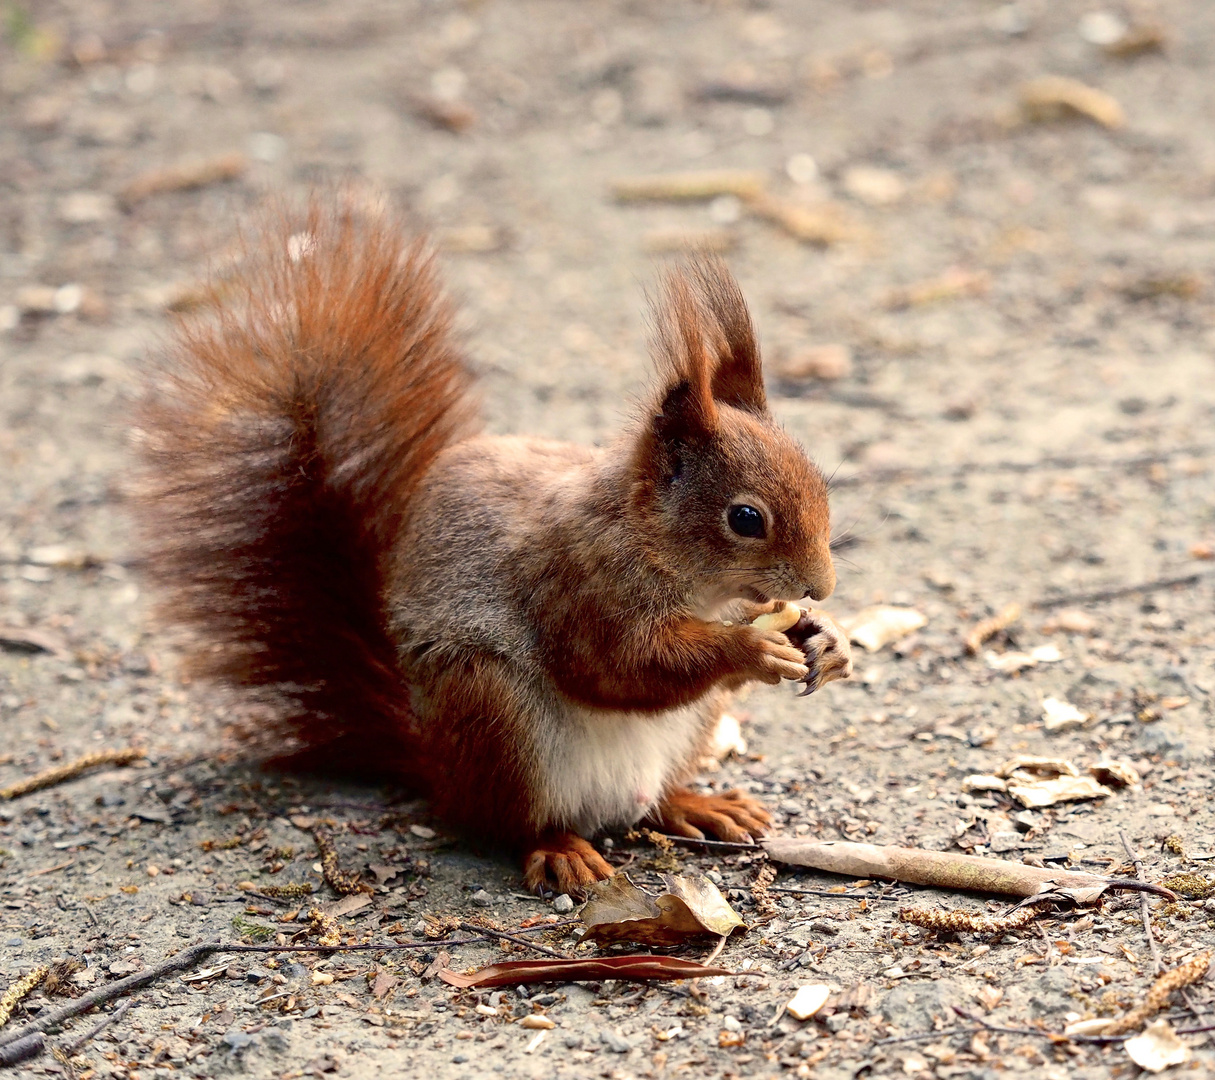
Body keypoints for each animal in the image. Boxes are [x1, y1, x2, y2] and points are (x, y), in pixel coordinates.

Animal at [135, 200, 855, 894]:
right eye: (745, 518)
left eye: (819, 478)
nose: (821, 585)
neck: (659, 546)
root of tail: (437, 764)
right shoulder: (578, 579)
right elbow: (618, 665)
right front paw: (750, 648)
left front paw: (824, 639)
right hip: (494, 713)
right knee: (509, 823)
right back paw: (559, 848)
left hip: (685, 729)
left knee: (650, 802)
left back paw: (696, 805)